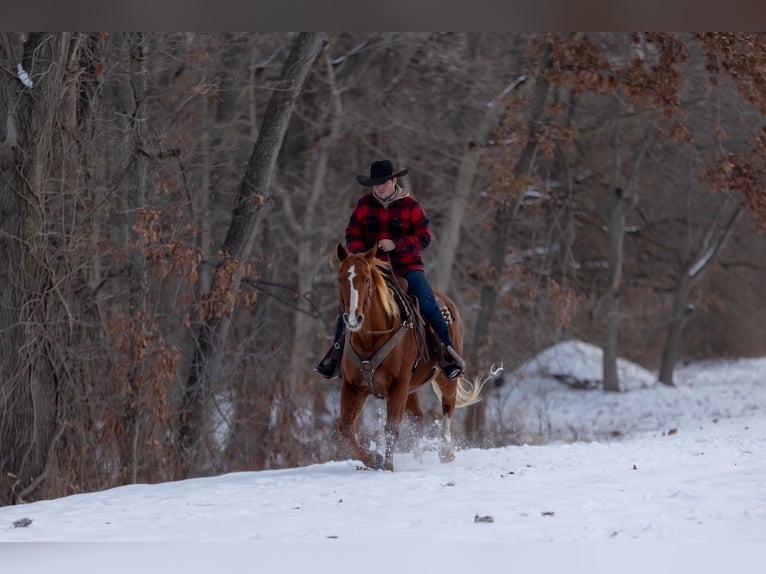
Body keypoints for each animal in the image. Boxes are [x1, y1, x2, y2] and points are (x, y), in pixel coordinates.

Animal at [335, 242, 484, 471]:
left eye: (367, 280)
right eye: (341, 278)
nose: (353, 318)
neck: (371, 339)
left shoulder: (398, 385)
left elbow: (391, 428)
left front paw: (387, 466)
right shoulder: (353, 386)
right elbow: (346, 428)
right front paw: (373, 459)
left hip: (444, 376)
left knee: (448, 406)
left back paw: (445, 453)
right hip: (411, 389)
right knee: (418, 420)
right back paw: (418, 458)